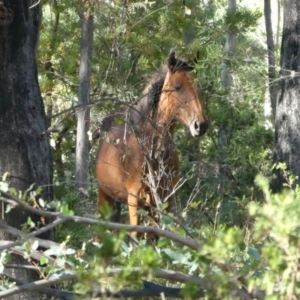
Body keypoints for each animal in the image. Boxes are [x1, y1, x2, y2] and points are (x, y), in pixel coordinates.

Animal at [95, 52, 207, 237]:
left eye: (198, 86)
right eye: (177, 87)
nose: (201, 125)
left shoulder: (165, 199)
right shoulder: (134, 199)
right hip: (104, 196)